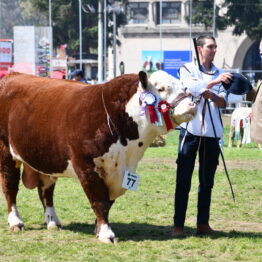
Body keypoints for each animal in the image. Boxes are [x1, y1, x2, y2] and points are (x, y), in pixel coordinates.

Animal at [0, 70, 196, 244]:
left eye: (184, 88)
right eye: (161, 89)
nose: (192, 105)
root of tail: (13, 75)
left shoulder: (120, 172)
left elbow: (108, 202)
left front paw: (98, 229)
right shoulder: (86, 166)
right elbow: (99, 200)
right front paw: (106, 234)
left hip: (46, 158)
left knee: (46, 190)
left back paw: (53, 221)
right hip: (6, 152)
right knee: (10, 187)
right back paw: (16, 222)